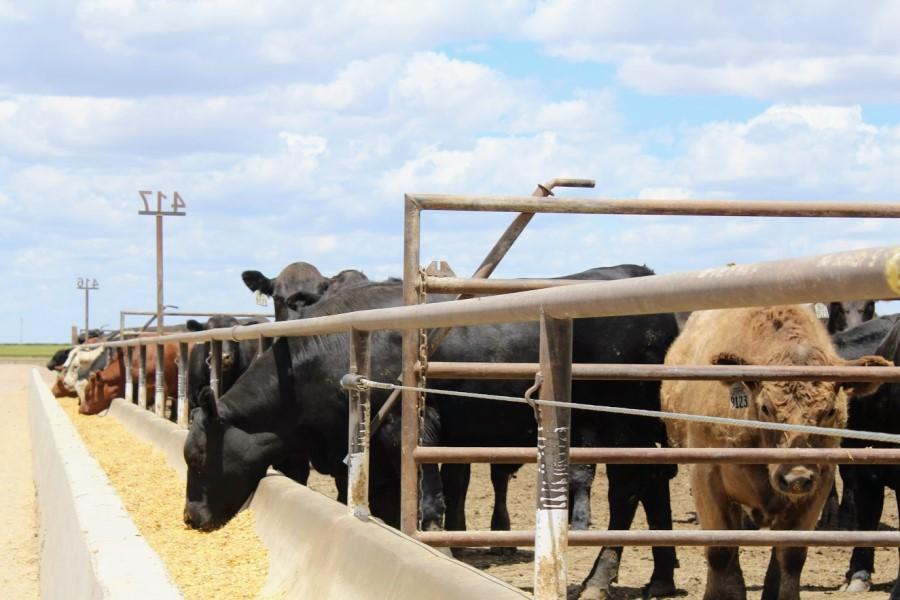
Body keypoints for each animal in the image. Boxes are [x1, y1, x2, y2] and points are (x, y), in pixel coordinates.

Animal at [661, 306, 890, 600]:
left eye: (830, 411)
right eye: (766, 407)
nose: (796, 478)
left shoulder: (819, 484)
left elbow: (791, 556)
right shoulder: (706, 477)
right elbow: (720, 551)